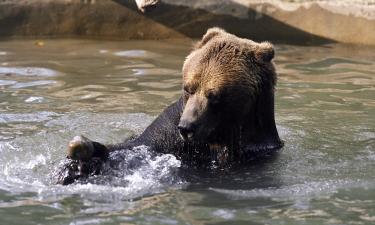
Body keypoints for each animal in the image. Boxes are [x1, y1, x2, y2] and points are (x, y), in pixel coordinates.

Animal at [57, 27, 284, 185]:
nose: (186, 127)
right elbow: (139, 144)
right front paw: (81, 158)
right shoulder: (169, 129)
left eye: (213, 95)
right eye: (188, 88)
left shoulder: (252, 150)